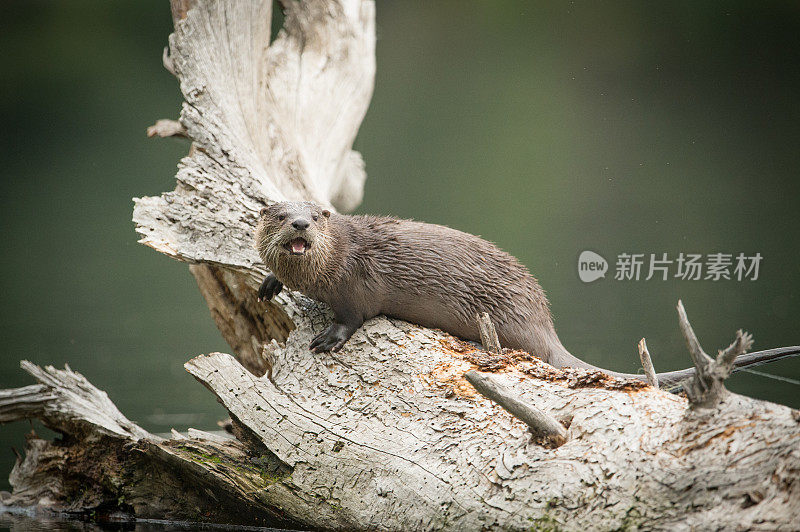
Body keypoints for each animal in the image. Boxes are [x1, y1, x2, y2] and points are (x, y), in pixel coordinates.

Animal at [258, 200, 800, 386]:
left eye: (315, 215)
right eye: (281, 214)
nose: (301, 223)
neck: (335, 259)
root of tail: (544, 323)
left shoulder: (357, 284)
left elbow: (355, 315)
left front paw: (329, 338)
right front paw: (270, 282)